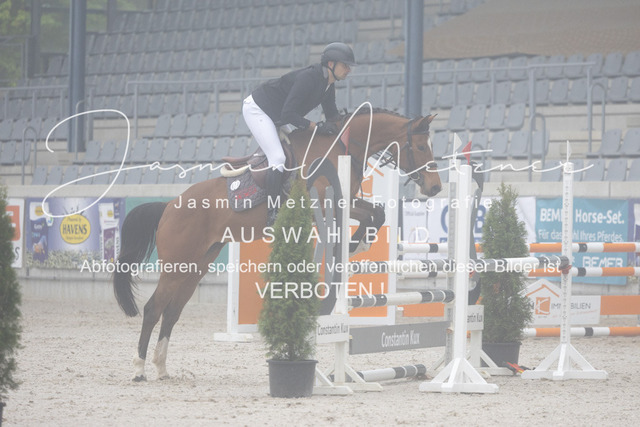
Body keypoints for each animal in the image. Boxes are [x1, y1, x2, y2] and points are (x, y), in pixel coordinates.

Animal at [113, 107, 442, 381]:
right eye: (421, 147)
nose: (435, 187)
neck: (339, 148)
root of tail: (169, 206)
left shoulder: (347, 201)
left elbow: (377, 212)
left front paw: (357, 242)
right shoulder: (326, 203)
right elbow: (371, 213)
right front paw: (354, 244)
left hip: (196, 265)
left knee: (172, 311)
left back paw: (162, 368)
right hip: (176, 266)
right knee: (153, 309)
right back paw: (140, 369)